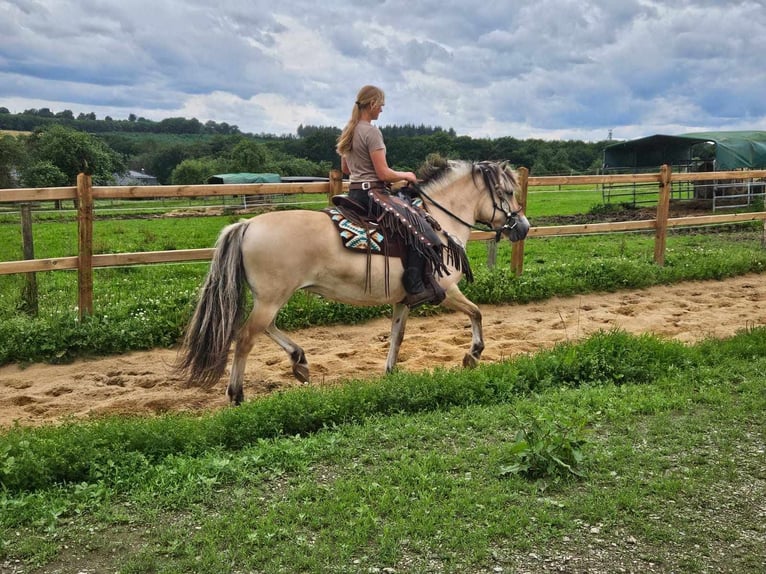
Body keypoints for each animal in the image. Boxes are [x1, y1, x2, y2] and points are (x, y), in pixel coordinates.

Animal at [178, 162, 532, 404]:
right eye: (507, 192)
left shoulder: (403, 300)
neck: (439, 222)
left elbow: (397, 336)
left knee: (265, 329)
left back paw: (300, 361)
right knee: (246, 337)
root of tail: (248, 224)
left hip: (271, 298)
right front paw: (473, 354)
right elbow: (476, 312)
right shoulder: (446, 290)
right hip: (271, 298)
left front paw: (390, 373)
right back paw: (237, 394)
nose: (524, 227)